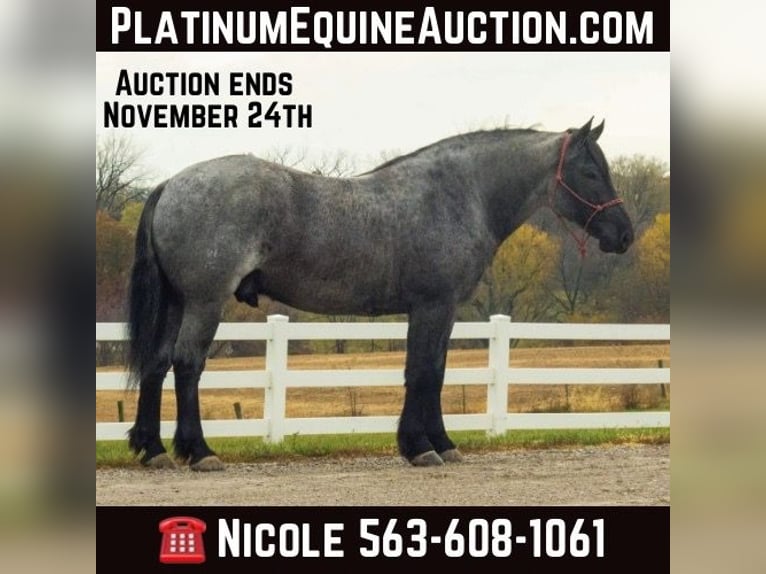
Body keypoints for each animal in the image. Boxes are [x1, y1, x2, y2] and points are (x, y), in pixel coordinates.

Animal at [126, 118, 634, 471]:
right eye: (590, 170)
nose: (624, 234)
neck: (458, 194)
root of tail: (171, 183)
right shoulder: (432, 306)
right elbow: (423, 372)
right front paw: (422, 447)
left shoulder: (440, 310)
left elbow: (434, 372)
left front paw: (440, 443)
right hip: (205, 301)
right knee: (187, 364)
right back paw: (199, 451)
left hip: (177, 302)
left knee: (156, 362)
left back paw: (152, 449)